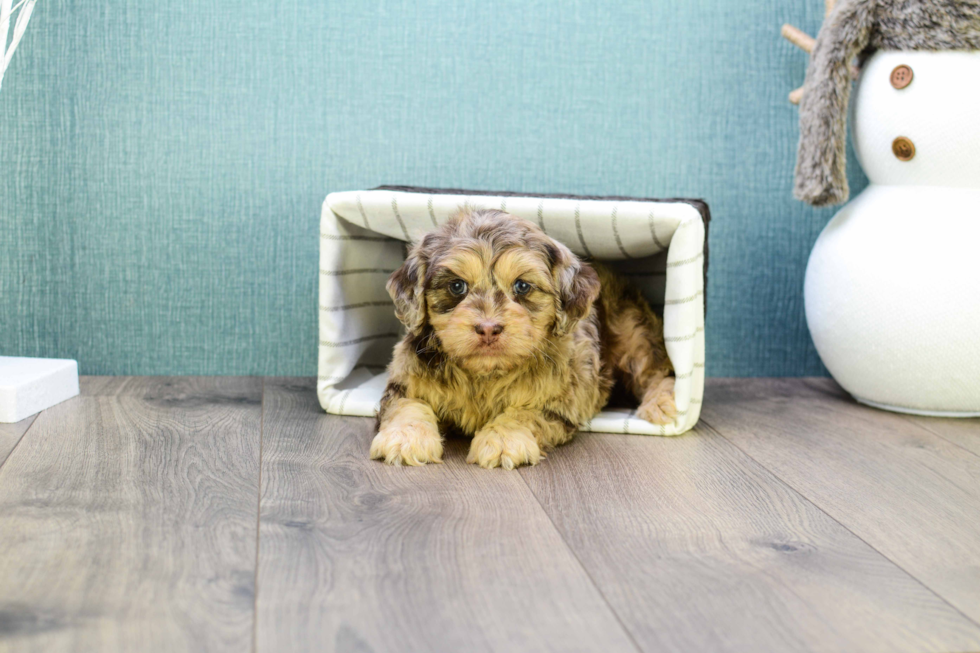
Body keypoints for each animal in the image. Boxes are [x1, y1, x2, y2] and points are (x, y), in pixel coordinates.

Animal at [372, 206, 676, 466]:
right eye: (457, 286)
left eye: (522, 286)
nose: (488, 328)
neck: (484, 375)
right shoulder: (405, 378)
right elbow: (407, 404)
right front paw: (405, 438)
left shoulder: (562, 397)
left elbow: (526, 412)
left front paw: (502, 440)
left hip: (633, 331)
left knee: (657, 370)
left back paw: (662, 404)